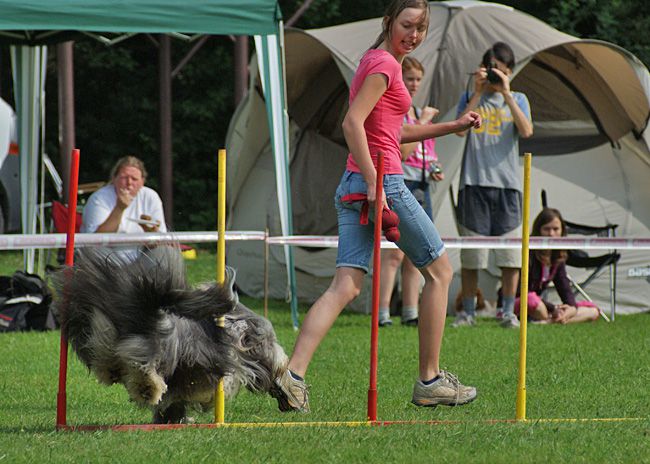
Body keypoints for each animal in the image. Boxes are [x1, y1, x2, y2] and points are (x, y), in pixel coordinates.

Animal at [54, 246, 288, 424]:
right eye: (267, 341)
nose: (280, 361)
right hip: (154, 346)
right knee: (142, 364)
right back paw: (148, 389)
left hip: (105, 329)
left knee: (105, 350)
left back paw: (113, 371)